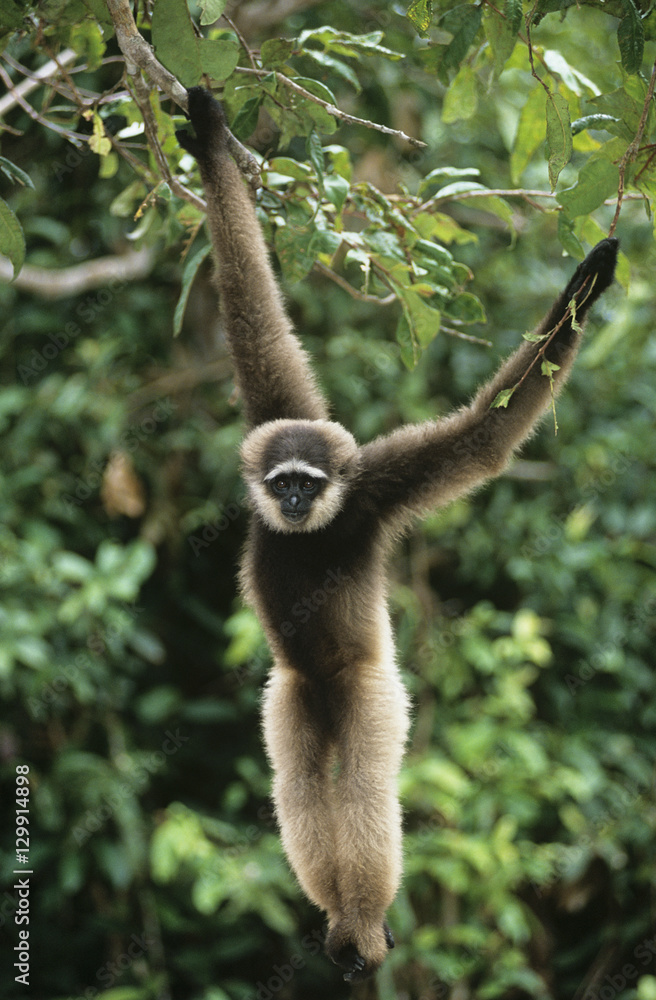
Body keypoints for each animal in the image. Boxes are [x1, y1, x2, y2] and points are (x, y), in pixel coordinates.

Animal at [177, 86, 618, 982]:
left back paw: (366, 924)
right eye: (284, 482)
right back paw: (342, 924)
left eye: (311, 484)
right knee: (304, 787)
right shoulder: (284, 420)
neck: (313, 531)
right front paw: (208, 138)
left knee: (361, 789)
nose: (296, 503)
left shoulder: (372, 491)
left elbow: (482, 440)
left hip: (374, 690)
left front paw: (583, 291)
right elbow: (256, 324)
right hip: (295, 694)